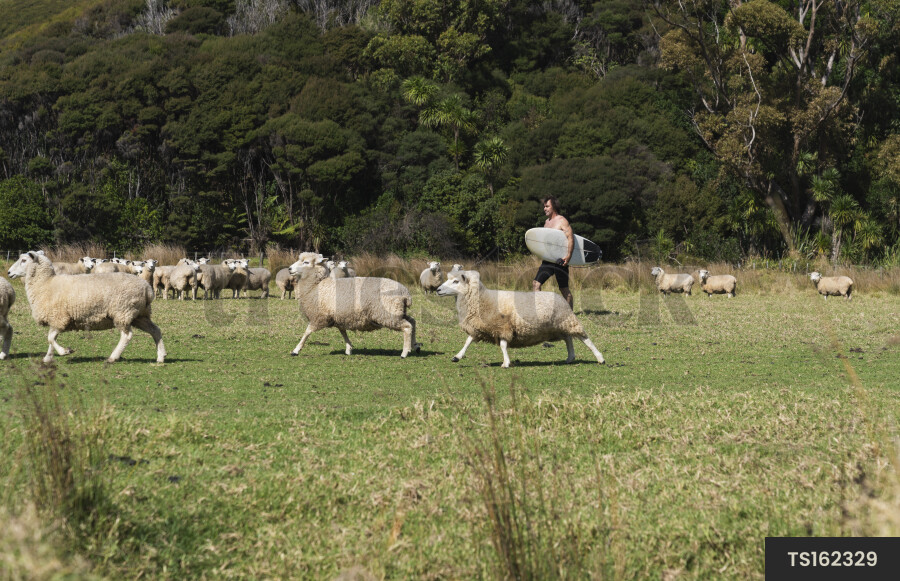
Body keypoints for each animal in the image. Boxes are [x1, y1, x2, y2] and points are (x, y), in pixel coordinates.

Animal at [6, 252, 166, 364]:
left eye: (24, 260)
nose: (8, 272)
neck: (45, 283)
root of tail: (147, 289)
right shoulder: (55, 319)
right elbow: (51, 339)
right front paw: (48, 358)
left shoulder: (60, 318)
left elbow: (50, 338)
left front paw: (65, 351)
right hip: (139, 315)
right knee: (155, 330)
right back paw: (161, 356)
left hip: (123, 312)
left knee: (127, 336)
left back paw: (113, 357)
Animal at [287, 261, 420, 358]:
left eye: (305, 262)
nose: (289, 269)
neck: (315, 286)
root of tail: (405, 293)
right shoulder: (338, 317)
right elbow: (343, 331)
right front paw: (349, 348)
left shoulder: (319, 317)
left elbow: (307, 332)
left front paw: (296, 350)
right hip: (399, 311)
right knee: (413, 322)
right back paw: (415, 345)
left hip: (389, 314)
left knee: (407, 327)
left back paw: (405, 352)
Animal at [436, 270, 604, 368]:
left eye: (456, 281)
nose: (437, 290)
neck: (481, 299)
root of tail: (560, 297)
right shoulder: (480, 327)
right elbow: (468, 341)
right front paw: (457, 356)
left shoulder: (503, 327)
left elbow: (503, 345)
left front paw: (506, 362)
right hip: (557, 326)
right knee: (568, 339)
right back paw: (570, 357)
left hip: (568, 321)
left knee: (585, 339)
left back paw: (600, 358)